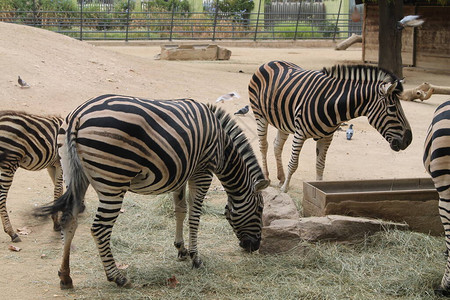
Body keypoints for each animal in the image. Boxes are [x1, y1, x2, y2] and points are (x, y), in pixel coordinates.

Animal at [0, 111, 63, 243]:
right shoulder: (60, 163)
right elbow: (59, 189)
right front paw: (56, 222)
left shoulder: (52, 165)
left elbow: (59, 188)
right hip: (10, 162)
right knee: (1, 198)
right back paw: (12, 233)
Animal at [36, 95, 268, 290]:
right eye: (260, 209)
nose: (255, 246)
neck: (222, 146)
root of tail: (77, 116)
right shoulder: (203, 171)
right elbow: (195, 216)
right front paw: (196, 258)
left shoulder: (182, 172)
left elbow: (180, 210)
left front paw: (181, 250)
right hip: (113, 180)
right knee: (100, 228)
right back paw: (117, 277)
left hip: (74, 174)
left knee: (69, 220)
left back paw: (65, 276)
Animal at [248, 60, 414, 191]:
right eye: (392, 109)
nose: (409, 140)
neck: (331, 103)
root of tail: (269, 62)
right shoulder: (300, 133)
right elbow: (293, 163)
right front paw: (284, 189)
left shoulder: (327, 137)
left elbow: (320, 165)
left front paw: (317, 188)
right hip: (260, 116)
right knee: (264, 145)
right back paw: (267, 177)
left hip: (283, 122)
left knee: (277, 146)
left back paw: (281, 177)